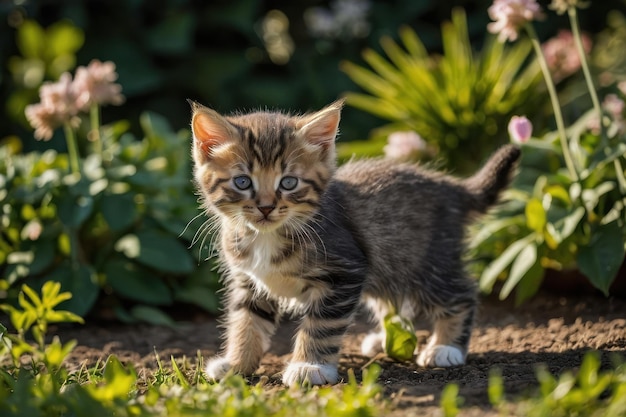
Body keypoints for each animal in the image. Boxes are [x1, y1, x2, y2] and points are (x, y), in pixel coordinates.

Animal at [188, 99, 520, 386]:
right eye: (243, 182)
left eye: (289, 183)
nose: (267, 208)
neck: (268, 236)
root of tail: (451, 186)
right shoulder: (248, 281)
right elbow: (246, 321)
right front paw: (236, 364)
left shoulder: (343, 272)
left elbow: (321, 327)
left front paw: (310, 366)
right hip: (389, 263)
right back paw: (385, 339)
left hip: (428, 263)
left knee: (462, 294)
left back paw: (446, 348)